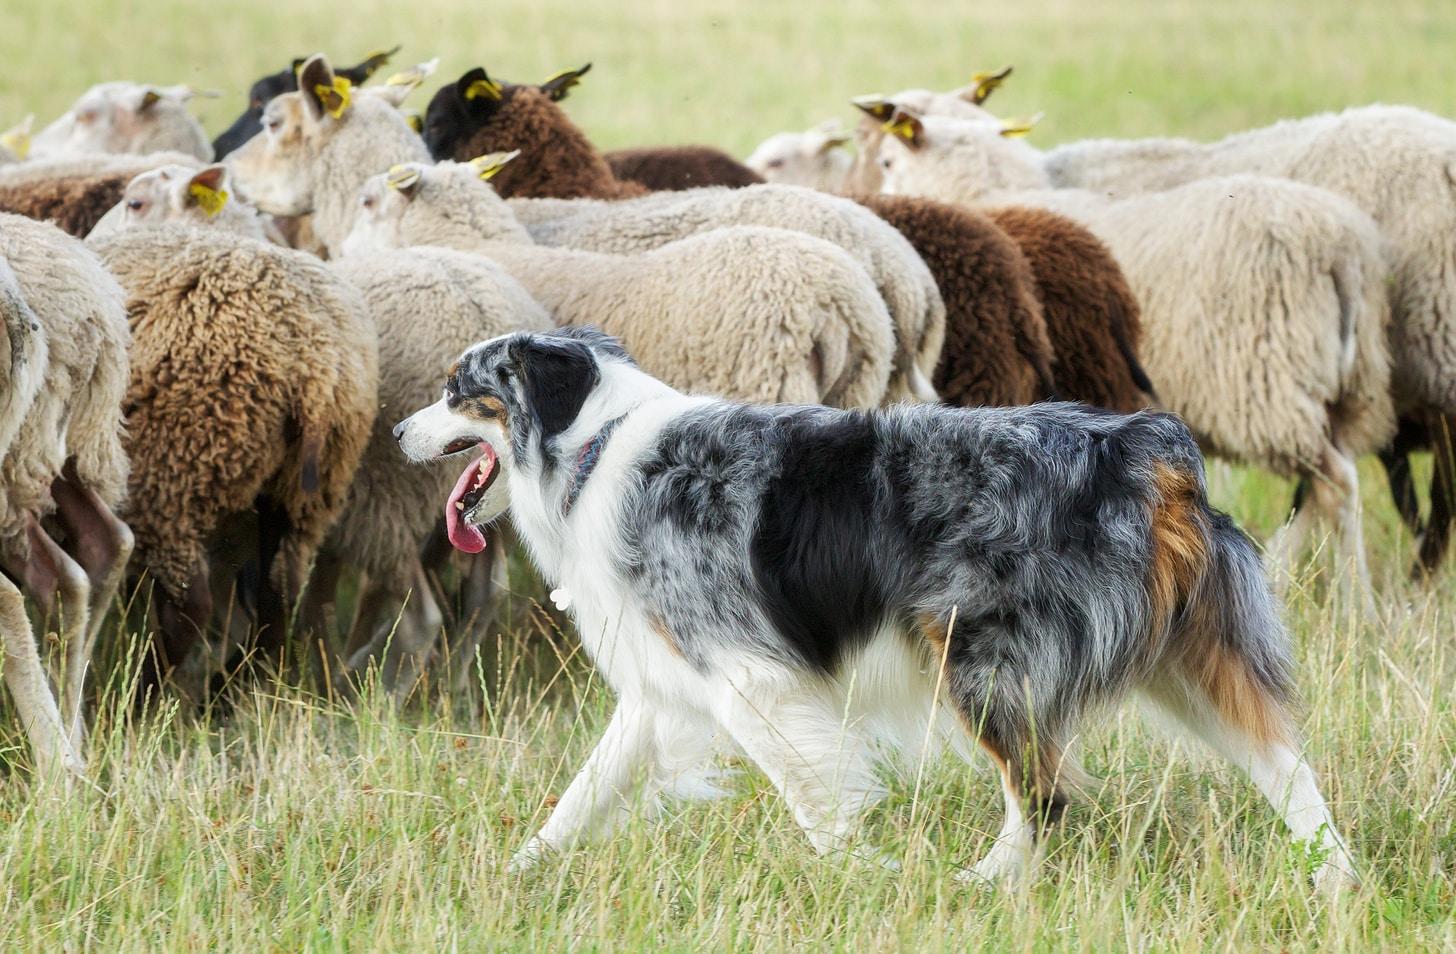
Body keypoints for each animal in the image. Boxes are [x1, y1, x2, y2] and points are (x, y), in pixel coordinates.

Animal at [88, 224, 377, 699]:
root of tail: (313, 358)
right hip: (305, 492)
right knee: (279, 595)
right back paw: (225, 693)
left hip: (173, 472)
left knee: (189, 606)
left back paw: (140, 701)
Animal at [873, 111, 1395, 602]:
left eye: (887, 161)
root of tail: (1344, 252)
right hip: (1348, 390)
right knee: (1325, 484)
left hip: (1265, 383)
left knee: (1337, 480)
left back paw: (1354, 602)